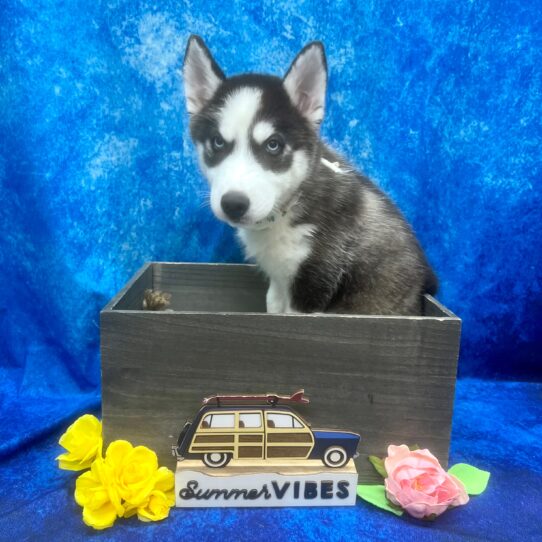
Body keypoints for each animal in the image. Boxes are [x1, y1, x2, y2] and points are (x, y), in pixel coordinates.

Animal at [183, 36, 438, 316]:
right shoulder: (277, 285)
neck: (286, 209)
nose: (233, 204)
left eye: (273, 145)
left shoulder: (312, 287)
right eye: (217, 142)